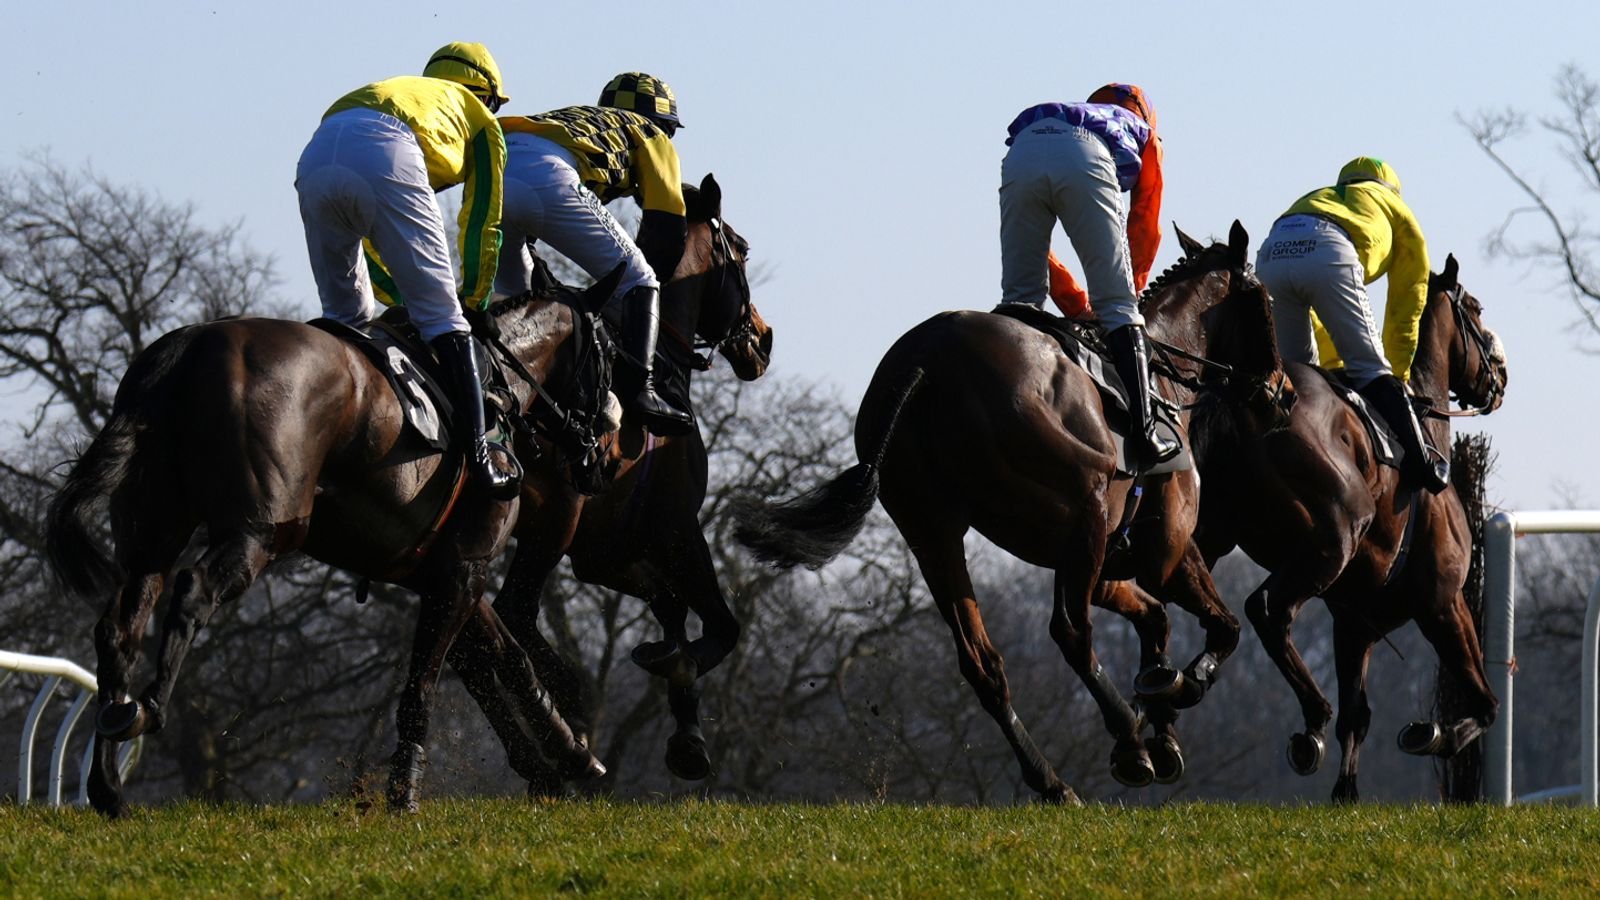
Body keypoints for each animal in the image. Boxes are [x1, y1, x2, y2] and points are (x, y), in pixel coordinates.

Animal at [444, 175, 774, 791]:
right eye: (741, 251)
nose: (763, 340)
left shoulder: (604, 551)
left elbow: (669, 604)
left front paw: (681, 712)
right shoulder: (675, 528)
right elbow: (720, 624)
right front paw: (680, 691)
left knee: (469, 643)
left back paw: (545, 754)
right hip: (553, 516)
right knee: (510, 614)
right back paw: (563, 727)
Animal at [732, 222, 1280, 797]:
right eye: (1265, 300)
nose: (1278, 389)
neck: (1161, 374)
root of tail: (924, 363)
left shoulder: (1105, 566)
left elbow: (1155, 621)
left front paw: (1162, 716)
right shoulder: (1164, 553)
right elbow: (1223, 627)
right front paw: (1177, 693)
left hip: (935, 536)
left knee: (983, 664)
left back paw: (1051, 780)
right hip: (1084, 510)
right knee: (1070, 633)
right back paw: (1127, 744)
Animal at [1190, 249, 1510, 797]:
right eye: (1476, 309)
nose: (1501, 377)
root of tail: (1253, 395)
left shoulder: (1354, 623)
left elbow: (1357, 716)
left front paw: (1346, 791)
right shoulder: (1443, 601)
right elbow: (1484, 702)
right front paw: (1433, 734)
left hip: (1212, 534)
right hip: (1333, 539)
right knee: (1266, 608)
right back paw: (1307, 720)